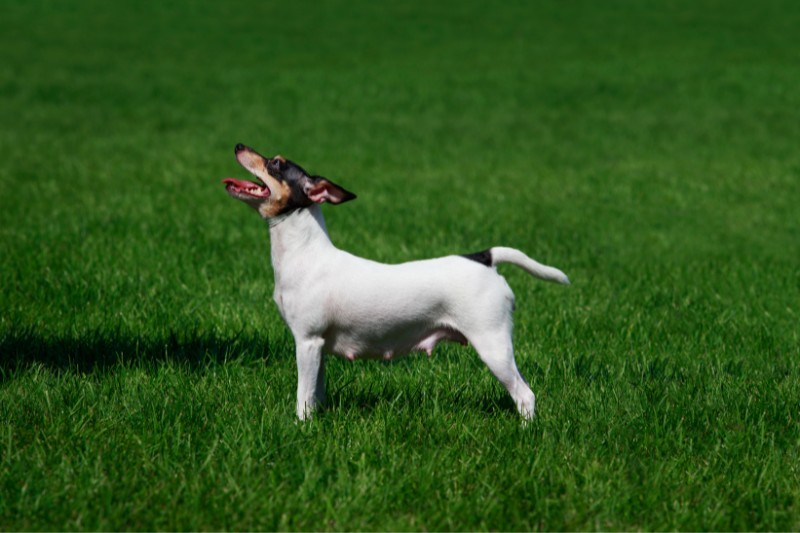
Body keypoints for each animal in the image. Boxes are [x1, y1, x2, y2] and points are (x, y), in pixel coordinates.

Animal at [220, 143, 568, 418]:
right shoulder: (318, 349)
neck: (305, 253)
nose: (238, 145)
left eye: (276, 163)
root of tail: (485, 258)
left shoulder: (307, 341)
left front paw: (301, 428)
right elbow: (315, 395)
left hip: (493, 345)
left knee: (525, 395)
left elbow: (302, 399)